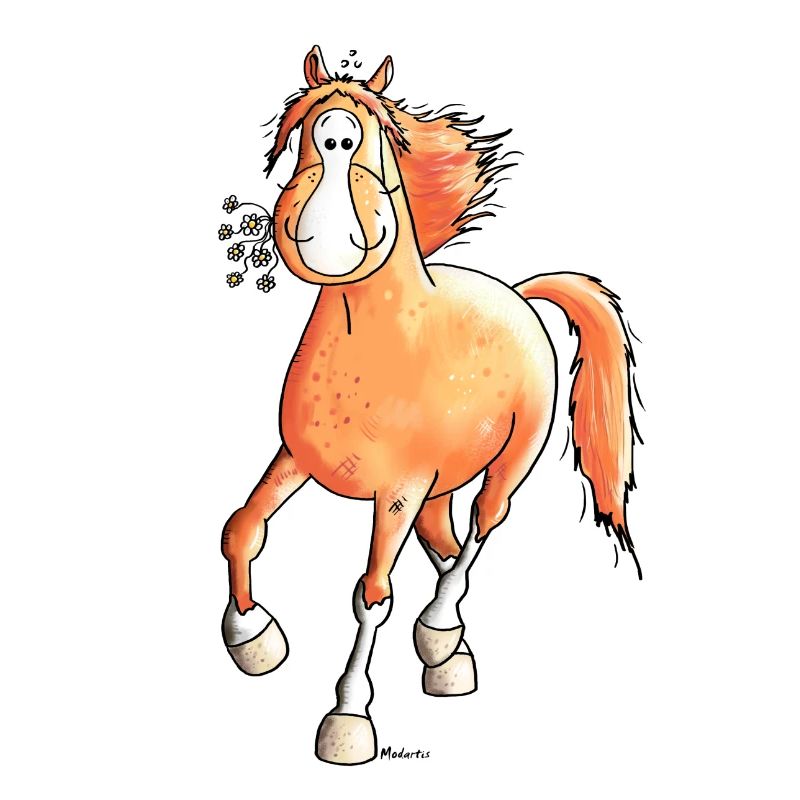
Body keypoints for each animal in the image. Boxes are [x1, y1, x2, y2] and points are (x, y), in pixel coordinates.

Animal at [220, 45, 641, 765]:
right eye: (302, 130)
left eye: (373, 134)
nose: (337, 141)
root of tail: (518, 294)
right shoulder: (295, 459)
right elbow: (242, 528)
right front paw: (253, 639)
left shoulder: (397, 491)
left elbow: (371, 596)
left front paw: (347, 719)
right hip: (438, 489)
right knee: (445, 546)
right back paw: (448, 653)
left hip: (508, 462)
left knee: (480, 527)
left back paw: (440, 632)